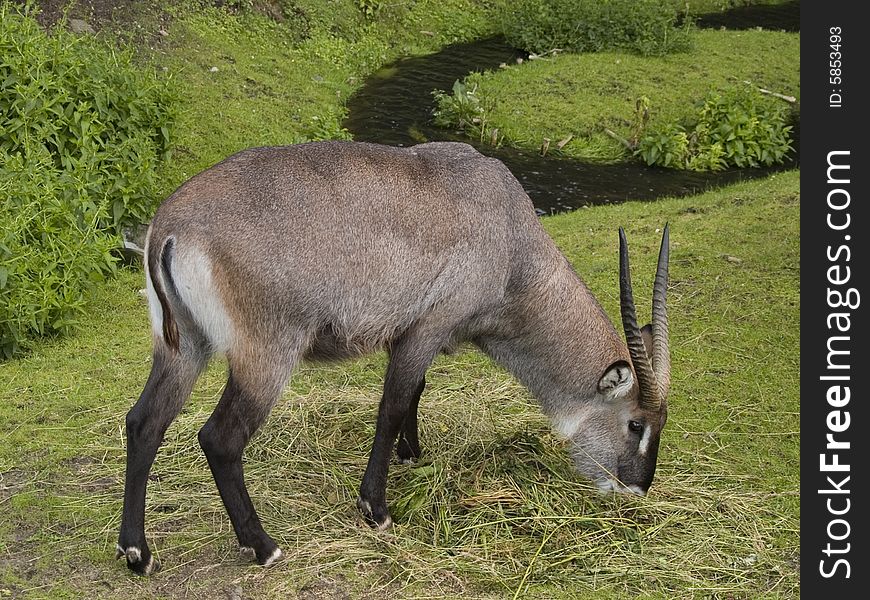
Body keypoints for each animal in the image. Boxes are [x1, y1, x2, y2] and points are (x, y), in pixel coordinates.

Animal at [117, 138, 676, 576]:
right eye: (635, 424)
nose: (638, 486)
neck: (510, 234)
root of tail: (170, 226)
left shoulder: (406, 335)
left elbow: (415, 393)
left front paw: (414, 452)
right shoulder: (428, 328)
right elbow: (391, 405)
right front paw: (376, 508)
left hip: (183, 348)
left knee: (144, 422)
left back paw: (137, 553)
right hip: (266, 357)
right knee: (220, 438)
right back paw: (263, 546)